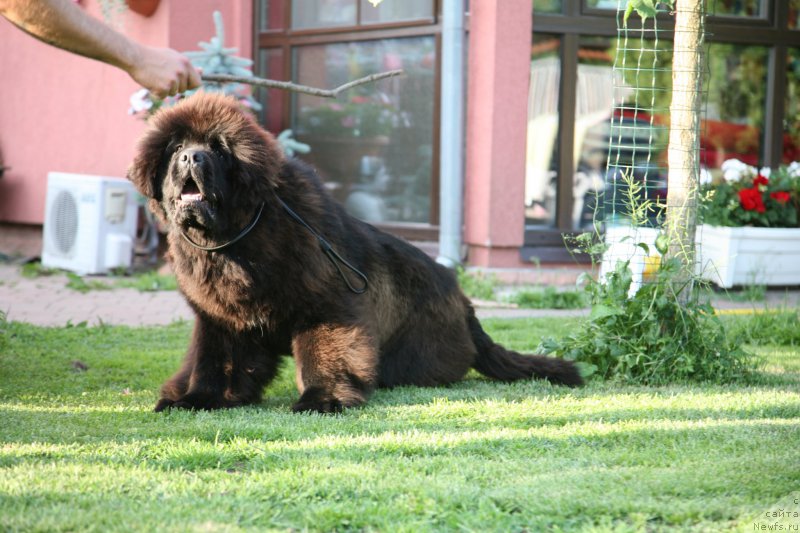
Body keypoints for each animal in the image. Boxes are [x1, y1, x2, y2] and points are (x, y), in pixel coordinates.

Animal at [130, 93, 580, 414]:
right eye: (176, 147)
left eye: (219, 148)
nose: (192, 156)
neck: (234, 240)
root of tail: (463, 300)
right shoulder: (223, 322)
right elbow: (216, 363)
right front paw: (195, 399)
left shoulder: (326, 307)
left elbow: (326, 356)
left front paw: (323, 400)